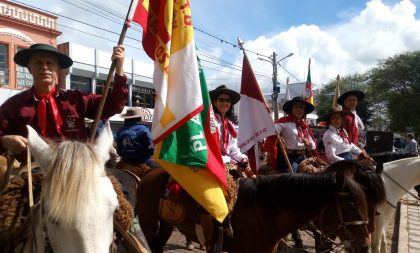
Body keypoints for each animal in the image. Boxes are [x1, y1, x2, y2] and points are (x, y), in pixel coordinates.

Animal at [137, 162, 384, 253]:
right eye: (350, 204)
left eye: (368, 202)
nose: (365, 245)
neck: (264, 211)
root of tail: (149, 173)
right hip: (147, 224)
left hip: (167, 224)